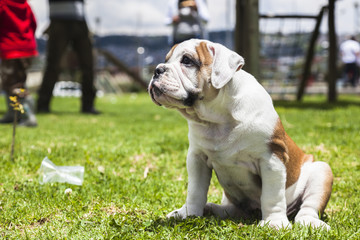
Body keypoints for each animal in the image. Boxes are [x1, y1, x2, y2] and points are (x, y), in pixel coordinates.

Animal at [148, 38, 334, 230]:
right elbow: (195, 191)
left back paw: (310, 222)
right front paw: (188, 213)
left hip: (321, 172)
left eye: (187, 61)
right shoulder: (197, 158)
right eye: (166, 60)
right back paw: (209, 209)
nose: (157, 70)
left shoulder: (271, 158)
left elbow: (272, 196)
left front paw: (274, 222)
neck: (218, 118)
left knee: (307, 208)